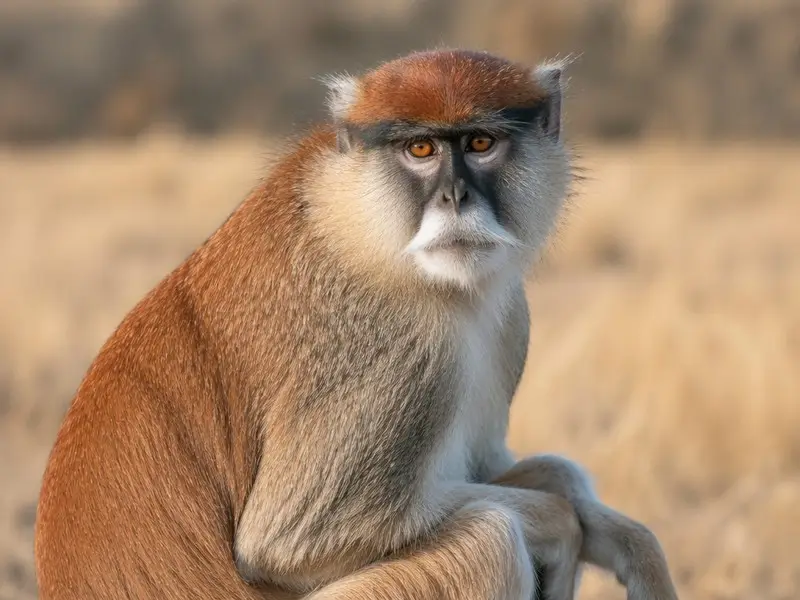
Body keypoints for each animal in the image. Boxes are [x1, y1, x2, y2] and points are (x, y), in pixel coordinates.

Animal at [34, 49, 679, 600]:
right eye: (420, 149)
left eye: (480, 142)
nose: (455, 197)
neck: (359, 219)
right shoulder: (402, 348)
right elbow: (289, 545)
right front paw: (562, 524)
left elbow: (530, 469)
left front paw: (628, 542)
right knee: (488, 543)